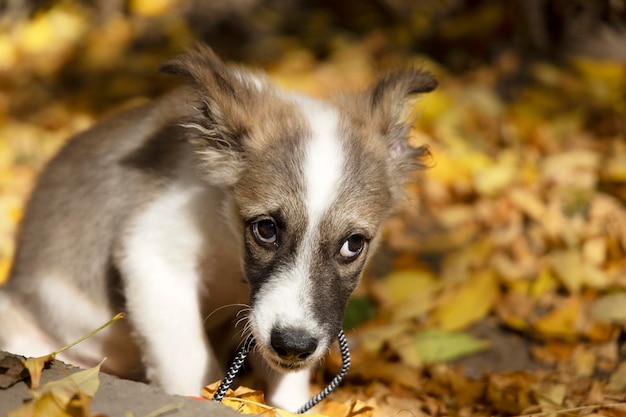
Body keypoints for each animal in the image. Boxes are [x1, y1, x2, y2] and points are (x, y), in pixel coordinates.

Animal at [0, 45, 434, 410]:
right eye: (265, 229)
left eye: (353, 244)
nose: (293, 346)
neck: (229, 241)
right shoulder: (154, 256)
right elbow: (193, 363)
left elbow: (285, 386)